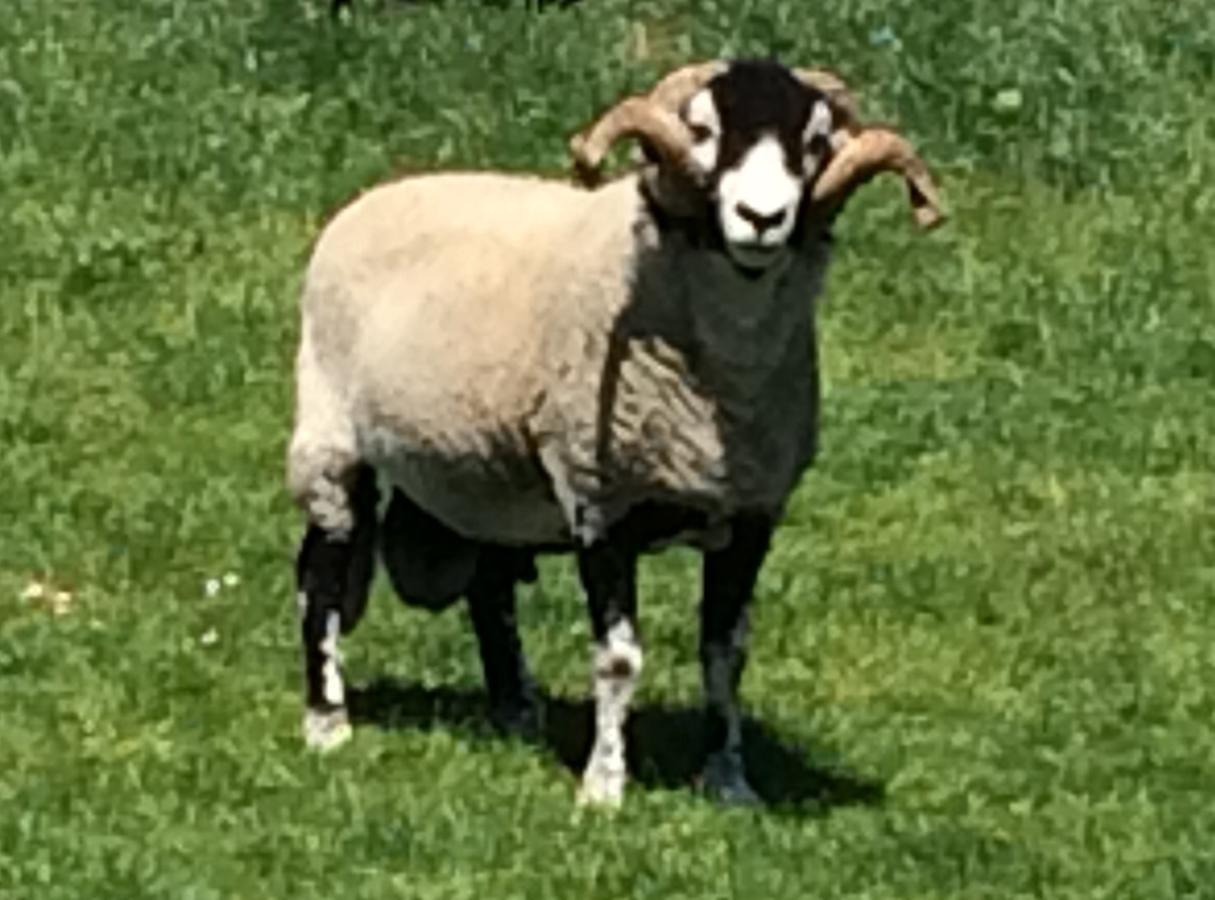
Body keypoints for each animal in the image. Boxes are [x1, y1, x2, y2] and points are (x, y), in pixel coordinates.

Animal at [286, 57, 947, 806]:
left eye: (813, 142)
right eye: (702, 131)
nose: (762, 219)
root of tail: (382, 191)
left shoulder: (753, 514)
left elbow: (725, 654)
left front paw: (729, 780)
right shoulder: (600, 503)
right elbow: (618, 659)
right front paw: (603, 786)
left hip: (485, 477)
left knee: (489, 585)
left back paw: (515, 709)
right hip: (330, 441)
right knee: (320, 580)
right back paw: (327, 721)